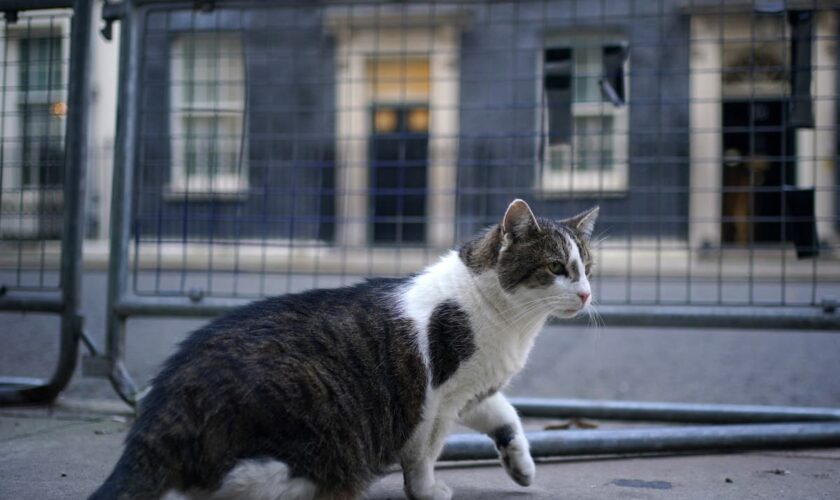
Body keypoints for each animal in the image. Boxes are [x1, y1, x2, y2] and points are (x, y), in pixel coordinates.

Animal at [90, 199, 596, 500]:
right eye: (556, 268)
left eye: (587, 267)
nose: (588, 294)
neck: (511, 322)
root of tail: (162, 411)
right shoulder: (437, 398)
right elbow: (425, 452)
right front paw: (428, 490)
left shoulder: (473, 389)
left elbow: (506, 415)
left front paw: (522, 466)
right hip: (312, 427)